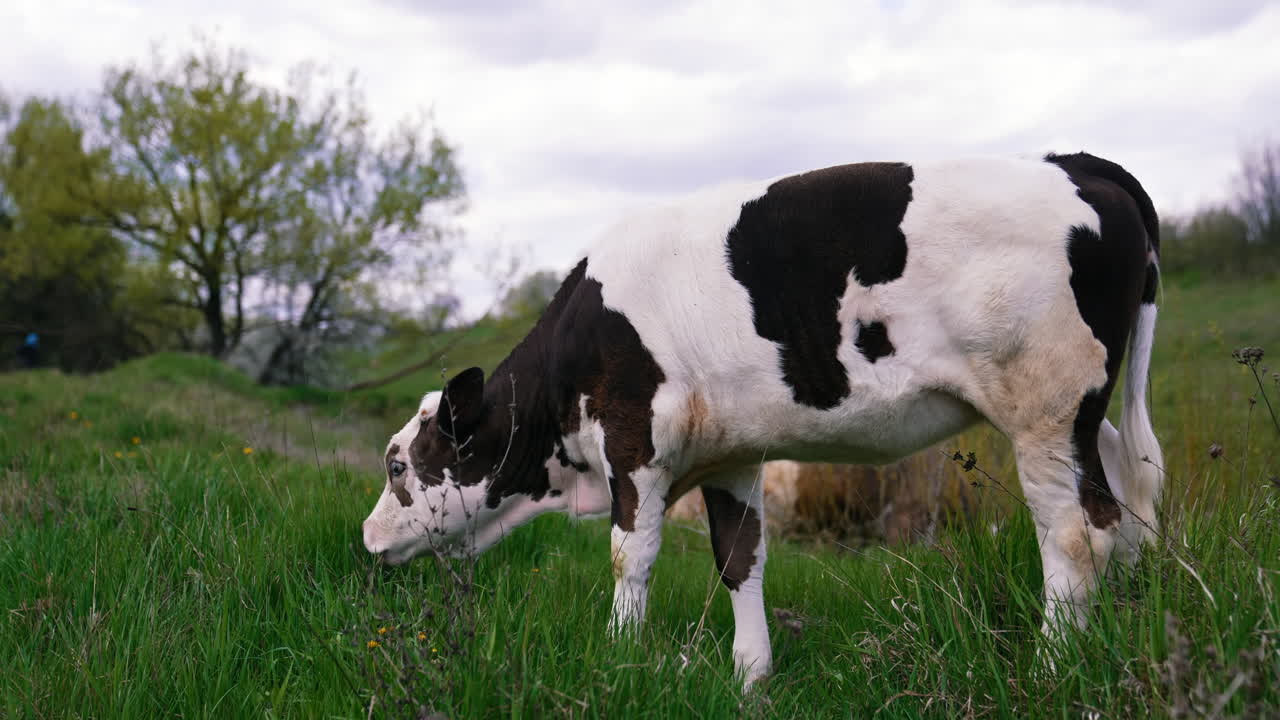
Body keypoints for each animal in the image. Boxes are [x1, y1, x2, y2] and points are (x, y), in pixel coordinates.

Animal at [362, 152, 1163, 687]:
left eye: (398, 463)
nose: (367, 539)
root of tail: (1077, 163)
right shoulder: (732, 454)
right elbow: (739, 558)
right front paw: (751, 677)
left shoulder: (634, 443)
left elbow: (630, 557)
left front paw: (620, 656)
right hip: (1088, 418)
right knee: (1129, 506)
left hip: (1045, 412)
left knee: (1077, 533)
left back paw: (1055, 666)